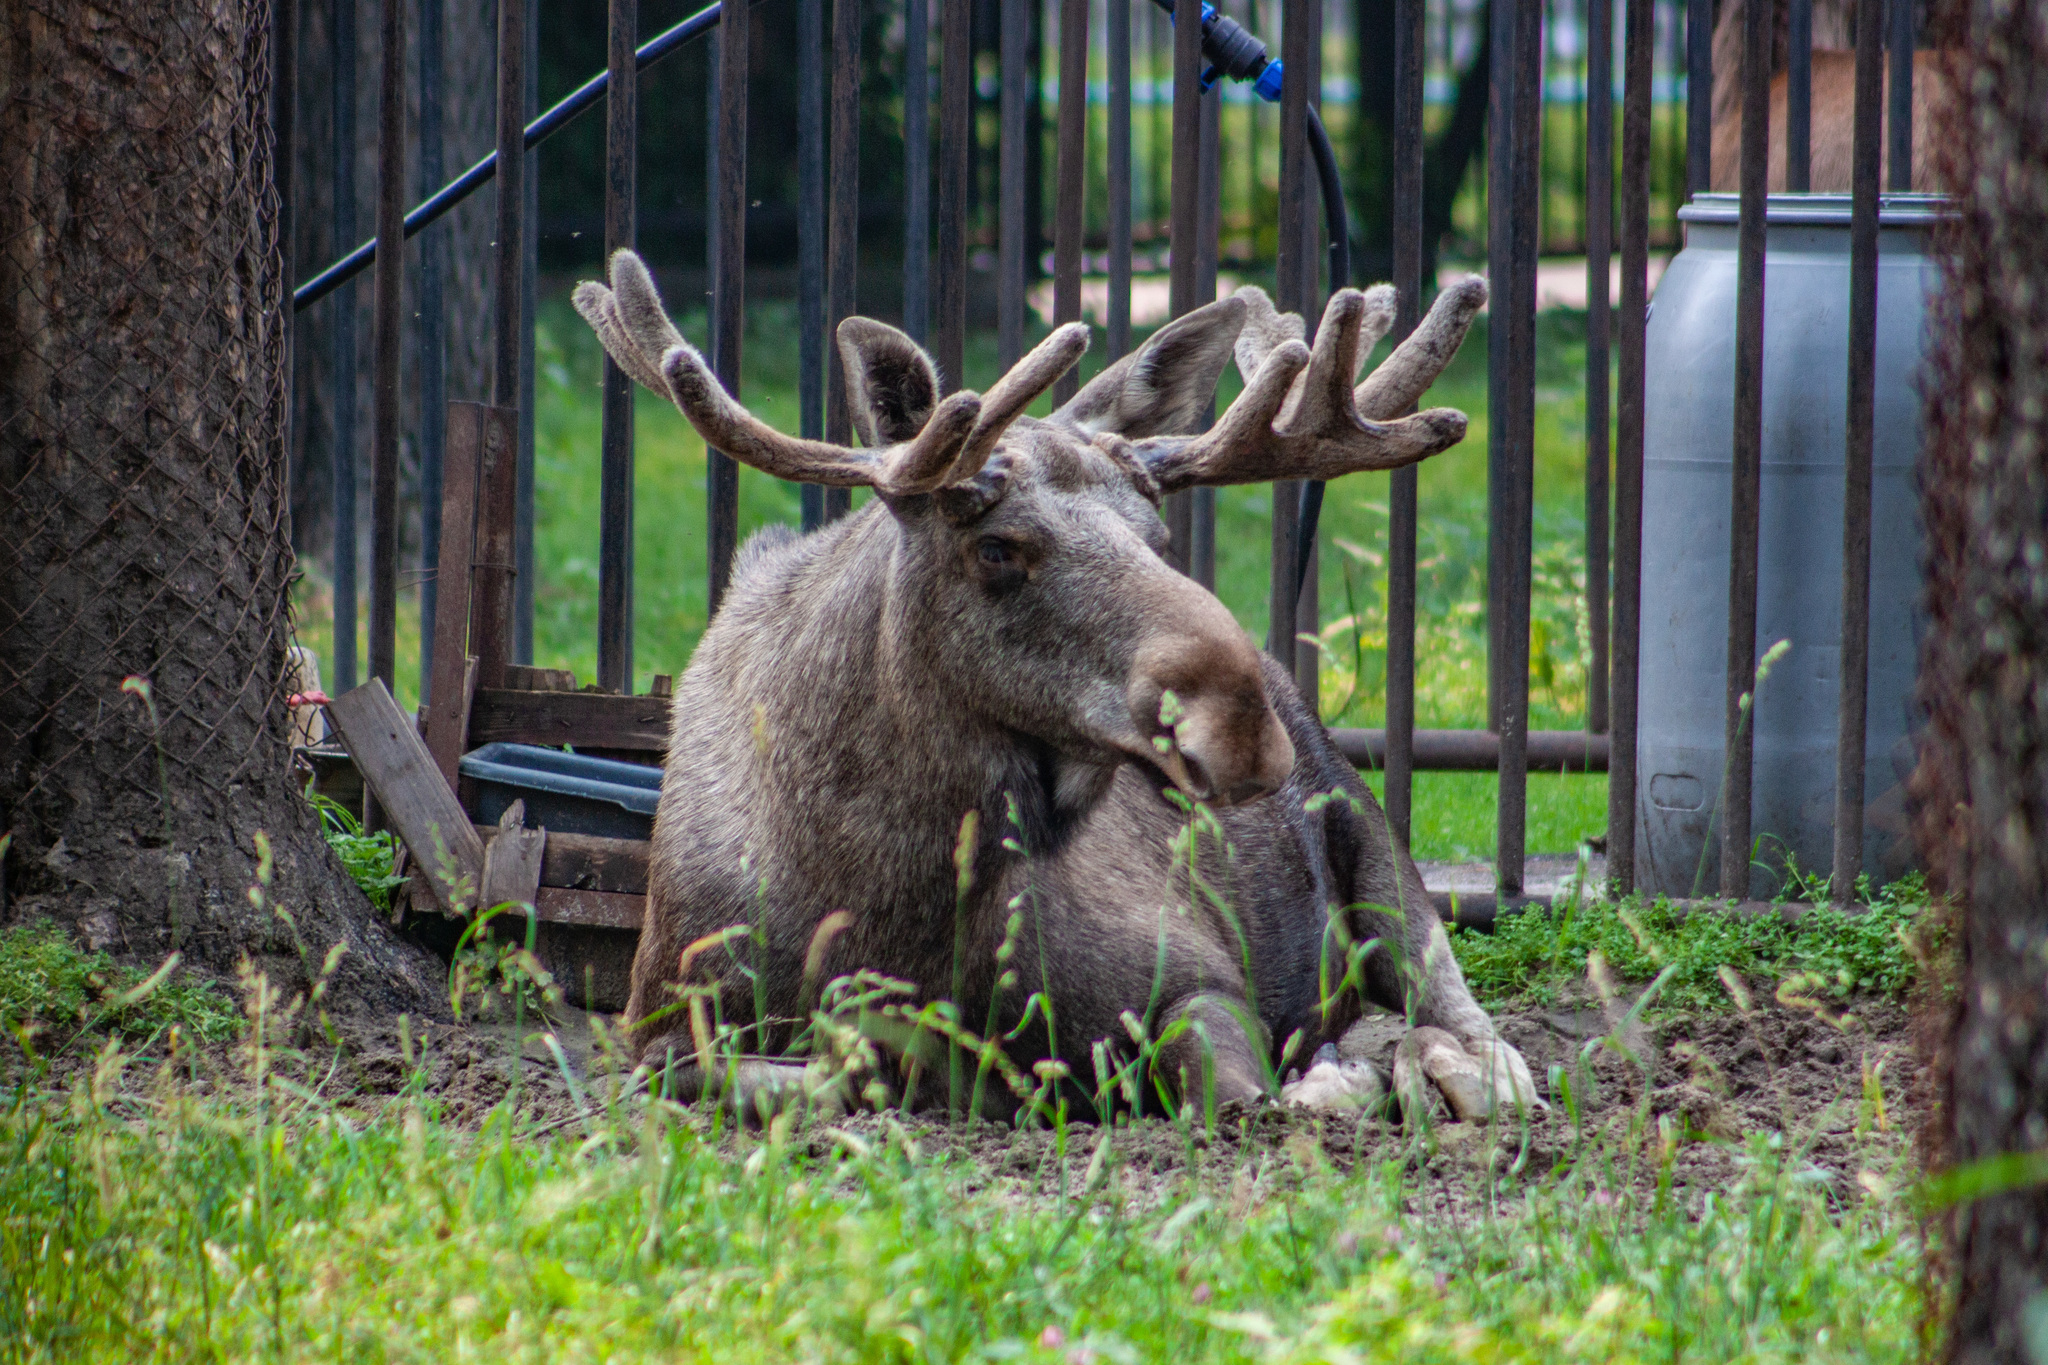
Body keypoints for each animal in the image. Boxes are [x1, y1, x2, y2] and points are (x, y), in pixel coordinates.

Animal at [573, 253, 1540, 1121]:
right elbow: (780, 1074)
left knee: (1464, 1020)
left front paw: (1336, 1082)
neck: (885, 912)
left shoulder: (1195, 970)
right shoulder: (658, 1019)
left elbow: (1236, 1091)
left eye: (1157, 534)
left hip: (1377, 850)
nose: (1241, 727)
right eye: (997, 548)